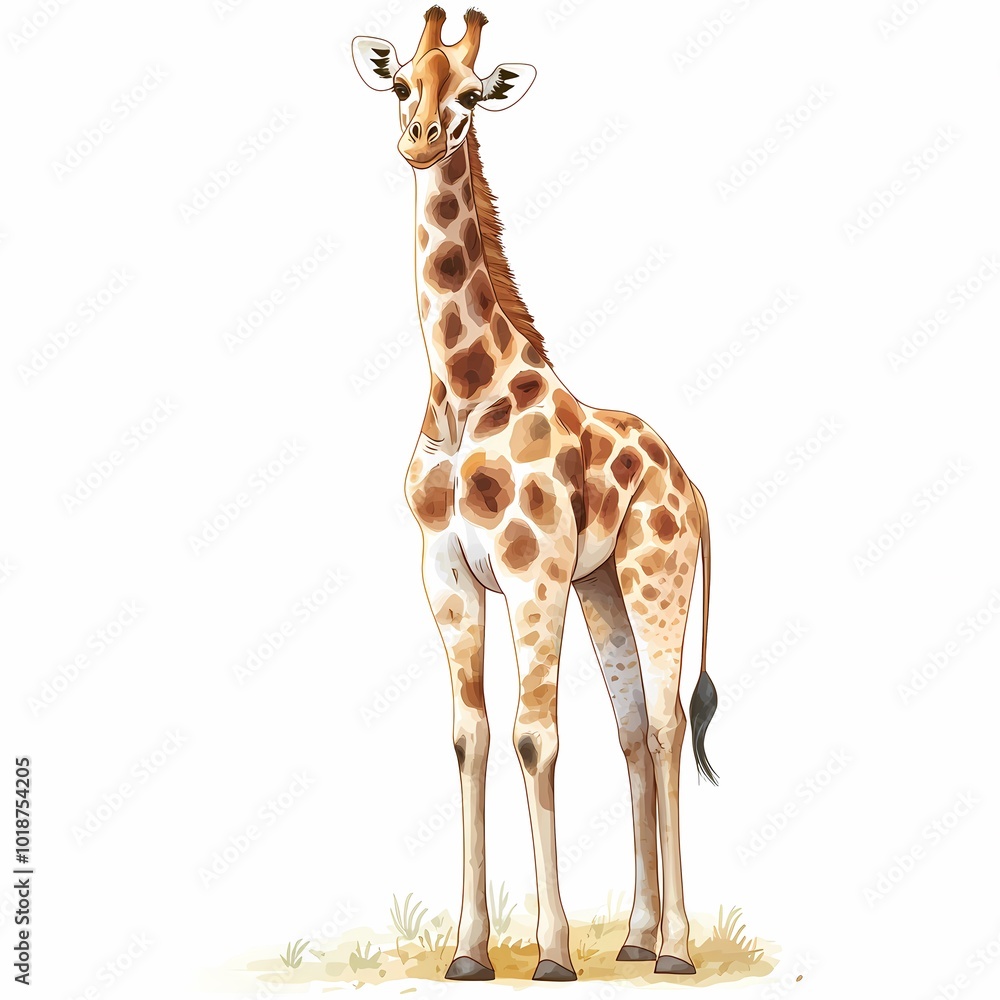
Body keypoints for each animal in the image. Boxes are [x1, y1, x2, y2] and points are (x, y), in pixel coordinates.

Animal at [353, 7, 719, 982]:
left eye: (474, 95)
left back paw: (675, 948)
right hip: (604, 591)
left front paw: (552, 953)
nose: (419, 137)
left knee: (667, 723)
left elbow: (533, 737)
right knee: (633, 732)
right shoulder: (448, 575)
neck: (462, 394)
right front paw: (468, 951)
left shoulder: (532, 572)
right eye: (400, 81)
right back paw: (635, 937)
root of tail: (693, 486)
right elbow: (470, 738)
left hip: (653, 576)